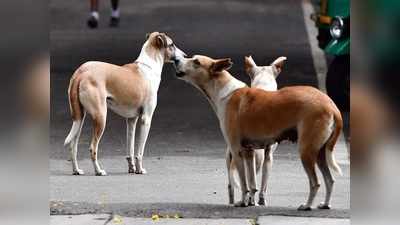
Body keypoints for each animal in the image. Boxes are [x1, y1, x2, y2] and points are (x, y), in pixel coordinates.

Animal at [64, 31, 186, 176]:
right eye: (171, 44)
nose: (185, 55)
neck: (148, 66)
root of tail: (81, 72)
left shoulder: (131, 120)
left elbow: (130, 149)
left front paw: (132, 168)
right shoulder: (146, 119)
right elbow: (139, 152)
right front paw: (140, 169)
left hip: (79, 119)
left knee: (73, 145)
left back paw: (76, 170)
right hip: (100, 117)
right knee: (93, 148)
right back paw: (99, 171)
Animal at [175, 54, 344, 209]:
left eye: (196, 61)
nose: (176, 59)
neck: (224, 90)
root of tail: (331, 105)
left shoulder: (237, 150)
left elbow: (244, 183)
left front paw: (242, 202)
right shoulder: (249, 152)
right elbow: (252, 184)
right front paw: (251, 202)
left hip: (306, 151)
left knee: (315, 182)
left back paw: (307, 206)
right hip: (320, 153)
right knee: (330, 180)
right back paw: (325, 204)